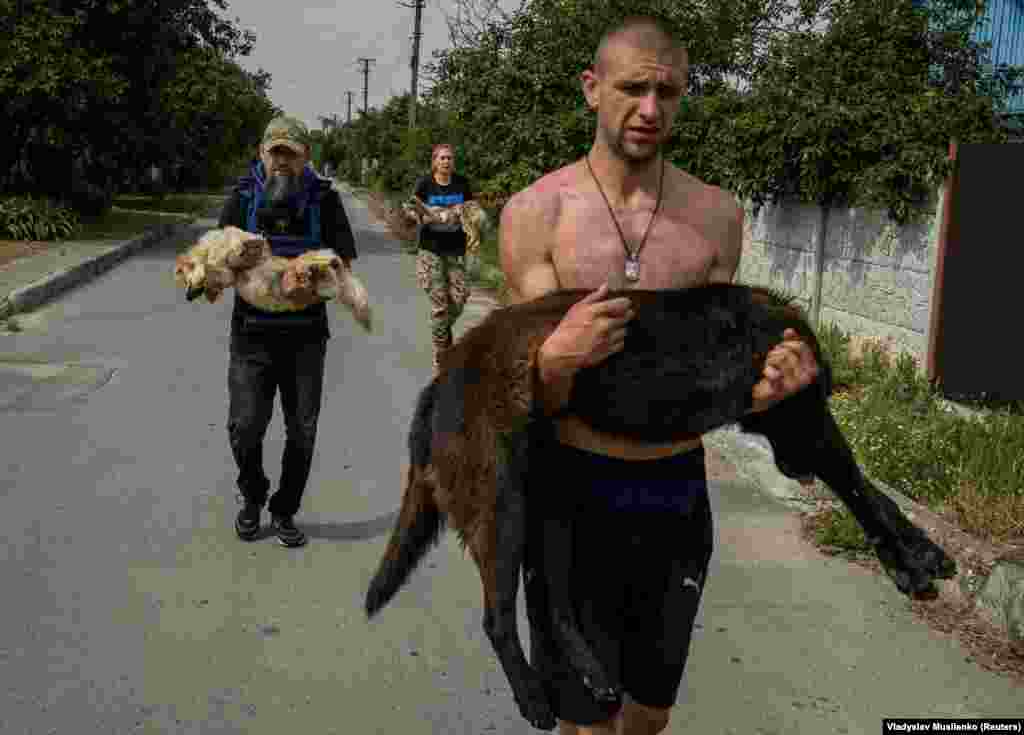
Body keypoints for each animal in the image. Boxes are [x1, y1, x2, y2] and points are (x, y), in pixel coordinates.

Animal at [364, 282, 954, 732]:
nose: (794, 471)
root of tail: (439, 381)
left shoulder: (808, 432)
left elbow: (870, 490)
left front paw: (923, 555)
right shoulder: (809, 425)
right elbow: (859, 487)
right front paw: (907, 563)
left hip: (547, 503)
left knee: (554, 601)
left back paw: (594, 674)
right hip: (502, 504)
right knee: (498, 618)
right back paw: (532, 696)